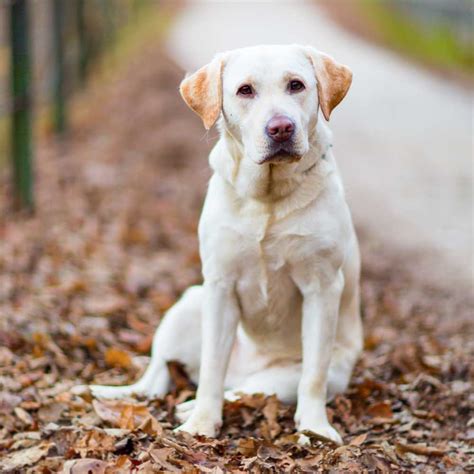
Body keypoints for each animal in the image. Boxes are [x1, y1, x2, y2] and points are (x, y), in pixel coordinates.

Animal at [89, 44, 362, 444]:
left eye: (296, 85)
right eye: (245, 90)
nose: (281, 127)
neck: (267, 197)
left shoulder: (322, 288)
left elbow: (313, 373)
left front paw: (315, 427)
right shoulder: (220, 286)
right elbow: (212, 367)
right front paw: (202, 423)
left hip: (294, 378)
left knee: (249, 390)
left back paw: (194, 404)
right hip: (189, 304)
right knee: (160, 378)